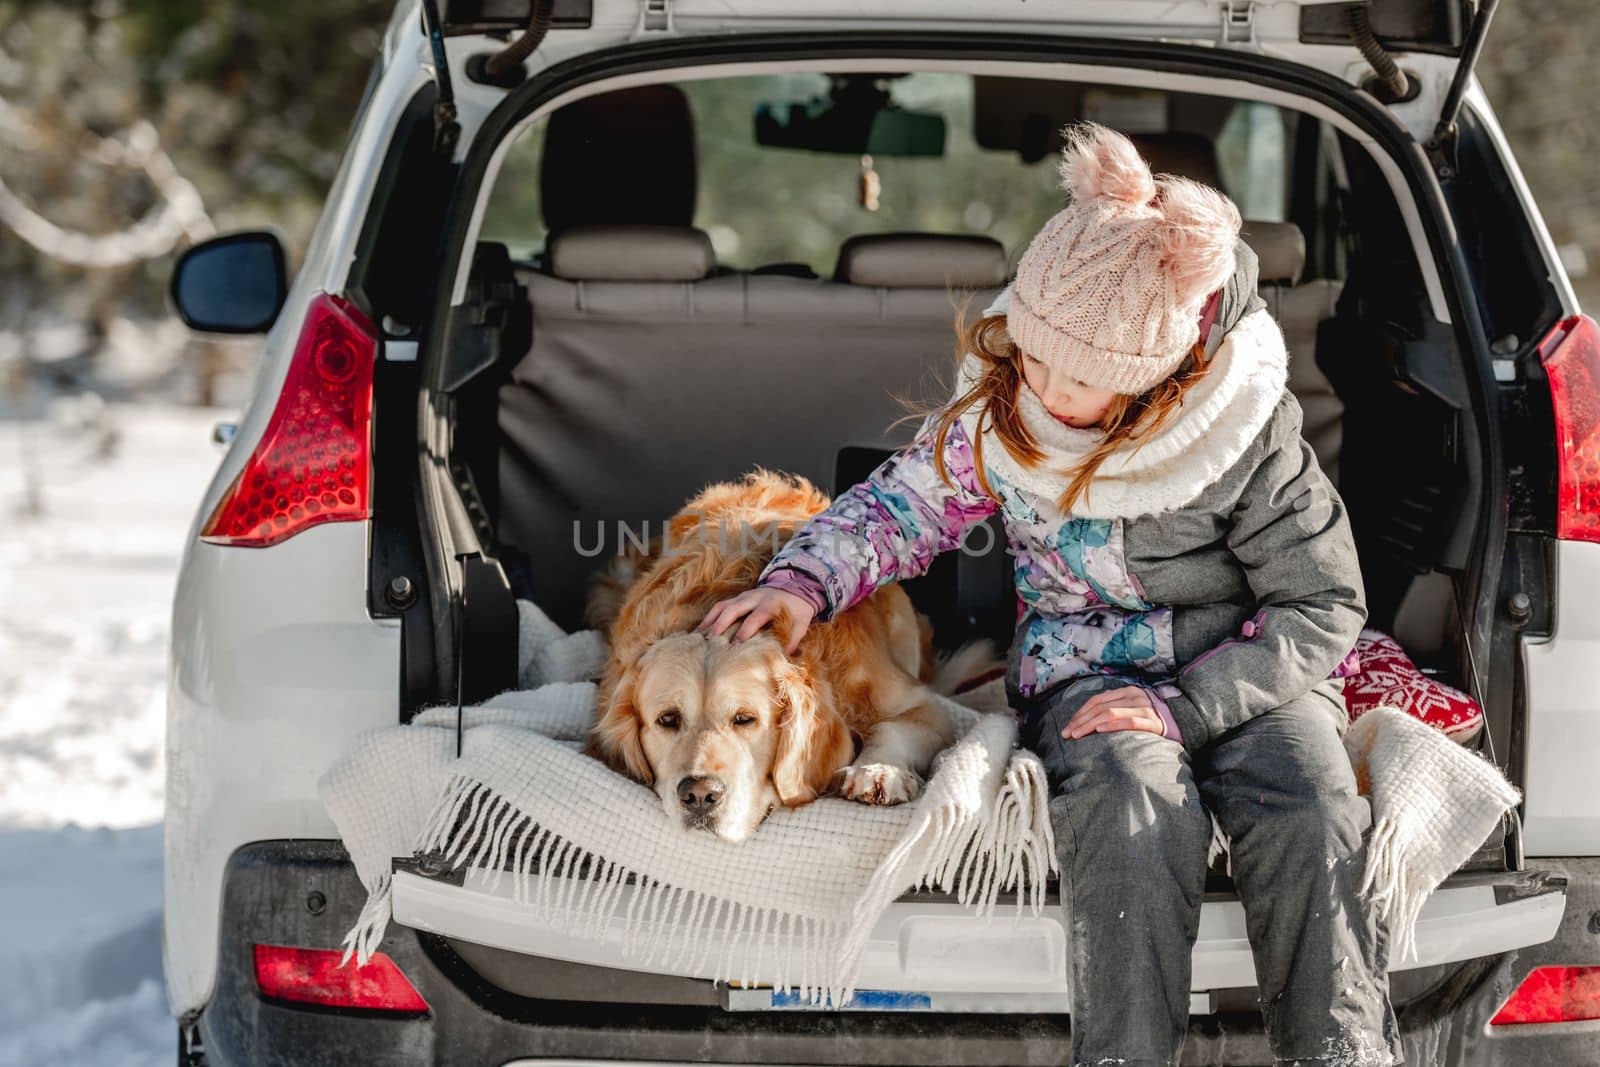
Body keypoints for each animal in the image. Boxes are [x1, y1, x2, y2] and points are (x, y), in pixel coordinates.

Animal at [582, 470, 992, 844]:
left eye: (745, 719)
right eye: (667, 720)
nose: (699, 795)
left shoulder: (923, 706)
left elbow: (893, 726)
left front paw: (878, 771)